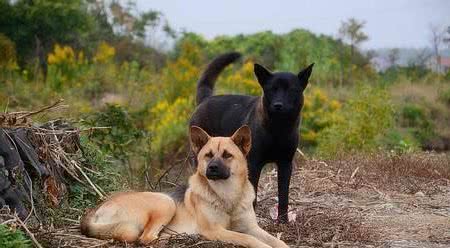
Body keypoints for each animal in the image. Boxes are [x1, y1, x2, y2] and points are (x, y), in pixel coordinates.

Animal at [80, 126, 288, 248]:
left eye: (227, 155)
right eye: (208, 155)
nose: (212, 168)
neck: (227, 196)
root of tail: (95, 211)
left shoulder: (252, 227)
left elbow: (278, 241)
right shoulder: (216, 231)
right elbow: (249, 239)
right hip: (165, 202)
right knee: (145, 238)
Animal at [190, 52, 312, 223]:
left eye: (292, 90)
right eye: (271, 89)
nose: (278, 105)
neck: (278, 130)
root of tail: (205, 99)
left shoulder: (286, 163)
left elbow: (284, 195)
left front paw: (283, 221)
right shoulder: (254, 164)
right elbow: (253, 195)